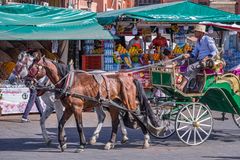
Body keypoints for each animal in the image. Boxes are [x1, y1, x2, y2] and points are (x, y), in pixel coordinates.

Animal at [26, 53, 163, 151]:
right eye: (29, 67)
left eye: (33, 69)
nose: (26, 81)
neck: (68, 82)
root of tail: (129, 77)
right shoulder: (69, 108)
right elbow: (60, 124)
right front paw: (62, 143)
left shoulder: (76, 107)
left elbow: (79, 126)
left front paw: (81, 144)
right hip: (114, 105)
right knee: (115, 121)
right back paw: (110, 143)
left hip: (129, 103)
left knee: (140, 118)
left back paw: (145, 140)